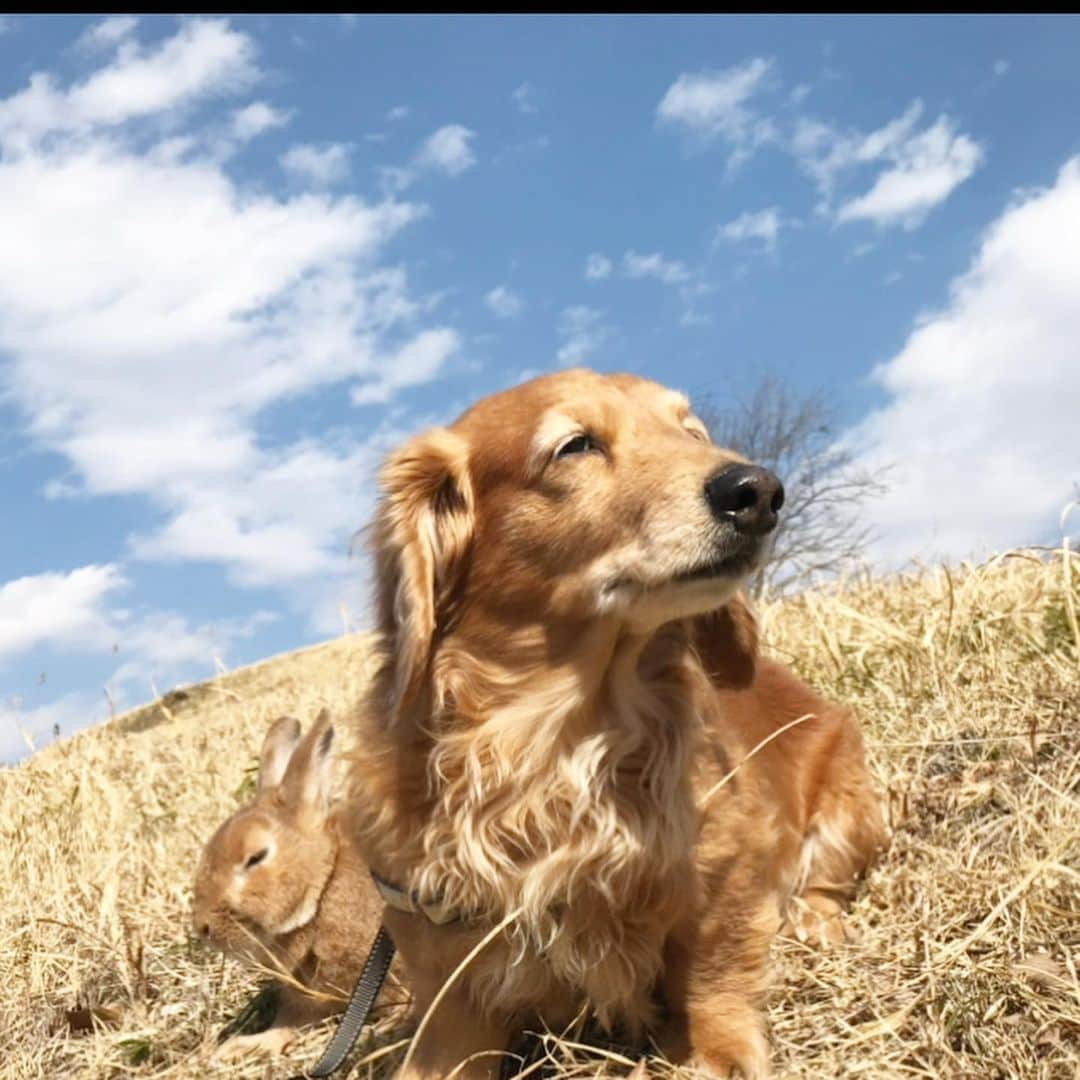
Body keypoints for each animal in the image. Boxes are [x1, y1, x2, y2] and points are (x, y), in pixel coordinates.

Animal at [347, 367, 885, 1075]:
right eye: (575, 445)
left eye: (693, 433)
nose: (759, 492)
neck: (562, 740)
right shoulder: (451, 976)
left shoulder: (727, 868)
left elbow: (712, 965)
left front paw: (718, 1048)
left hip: (849, 806)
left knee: (825, 880)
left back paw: (815, 921)